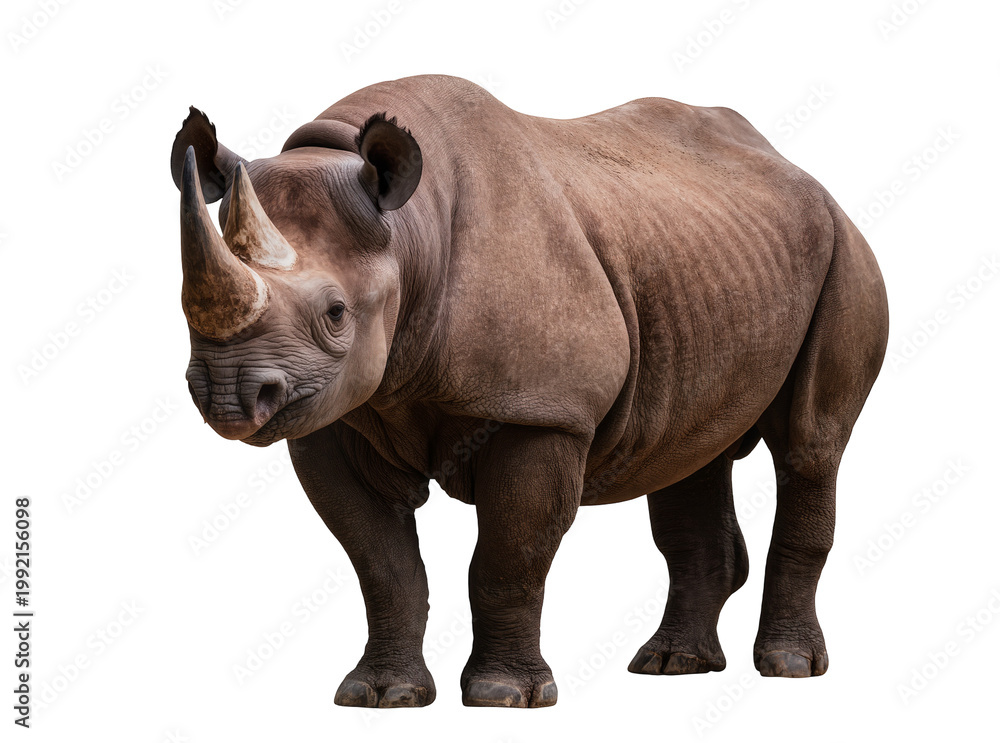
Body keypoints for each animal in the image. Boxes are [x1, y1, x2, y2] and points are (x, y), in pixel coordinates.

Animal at [170, 75, 888, 708]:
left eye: (336, 313)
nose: (229, 396)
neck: (410, 234)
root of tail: (798, 169)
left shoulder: (544, 410)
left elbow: (508, 558)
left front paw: (505, 696)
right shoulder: (334, 416)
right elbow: (381, 564)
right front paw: (381, 696)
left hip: (845, 252)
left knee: (809, 445)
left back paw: (788, 666)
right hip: (708, 261)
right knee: (690, 451)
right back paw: (671, 665)